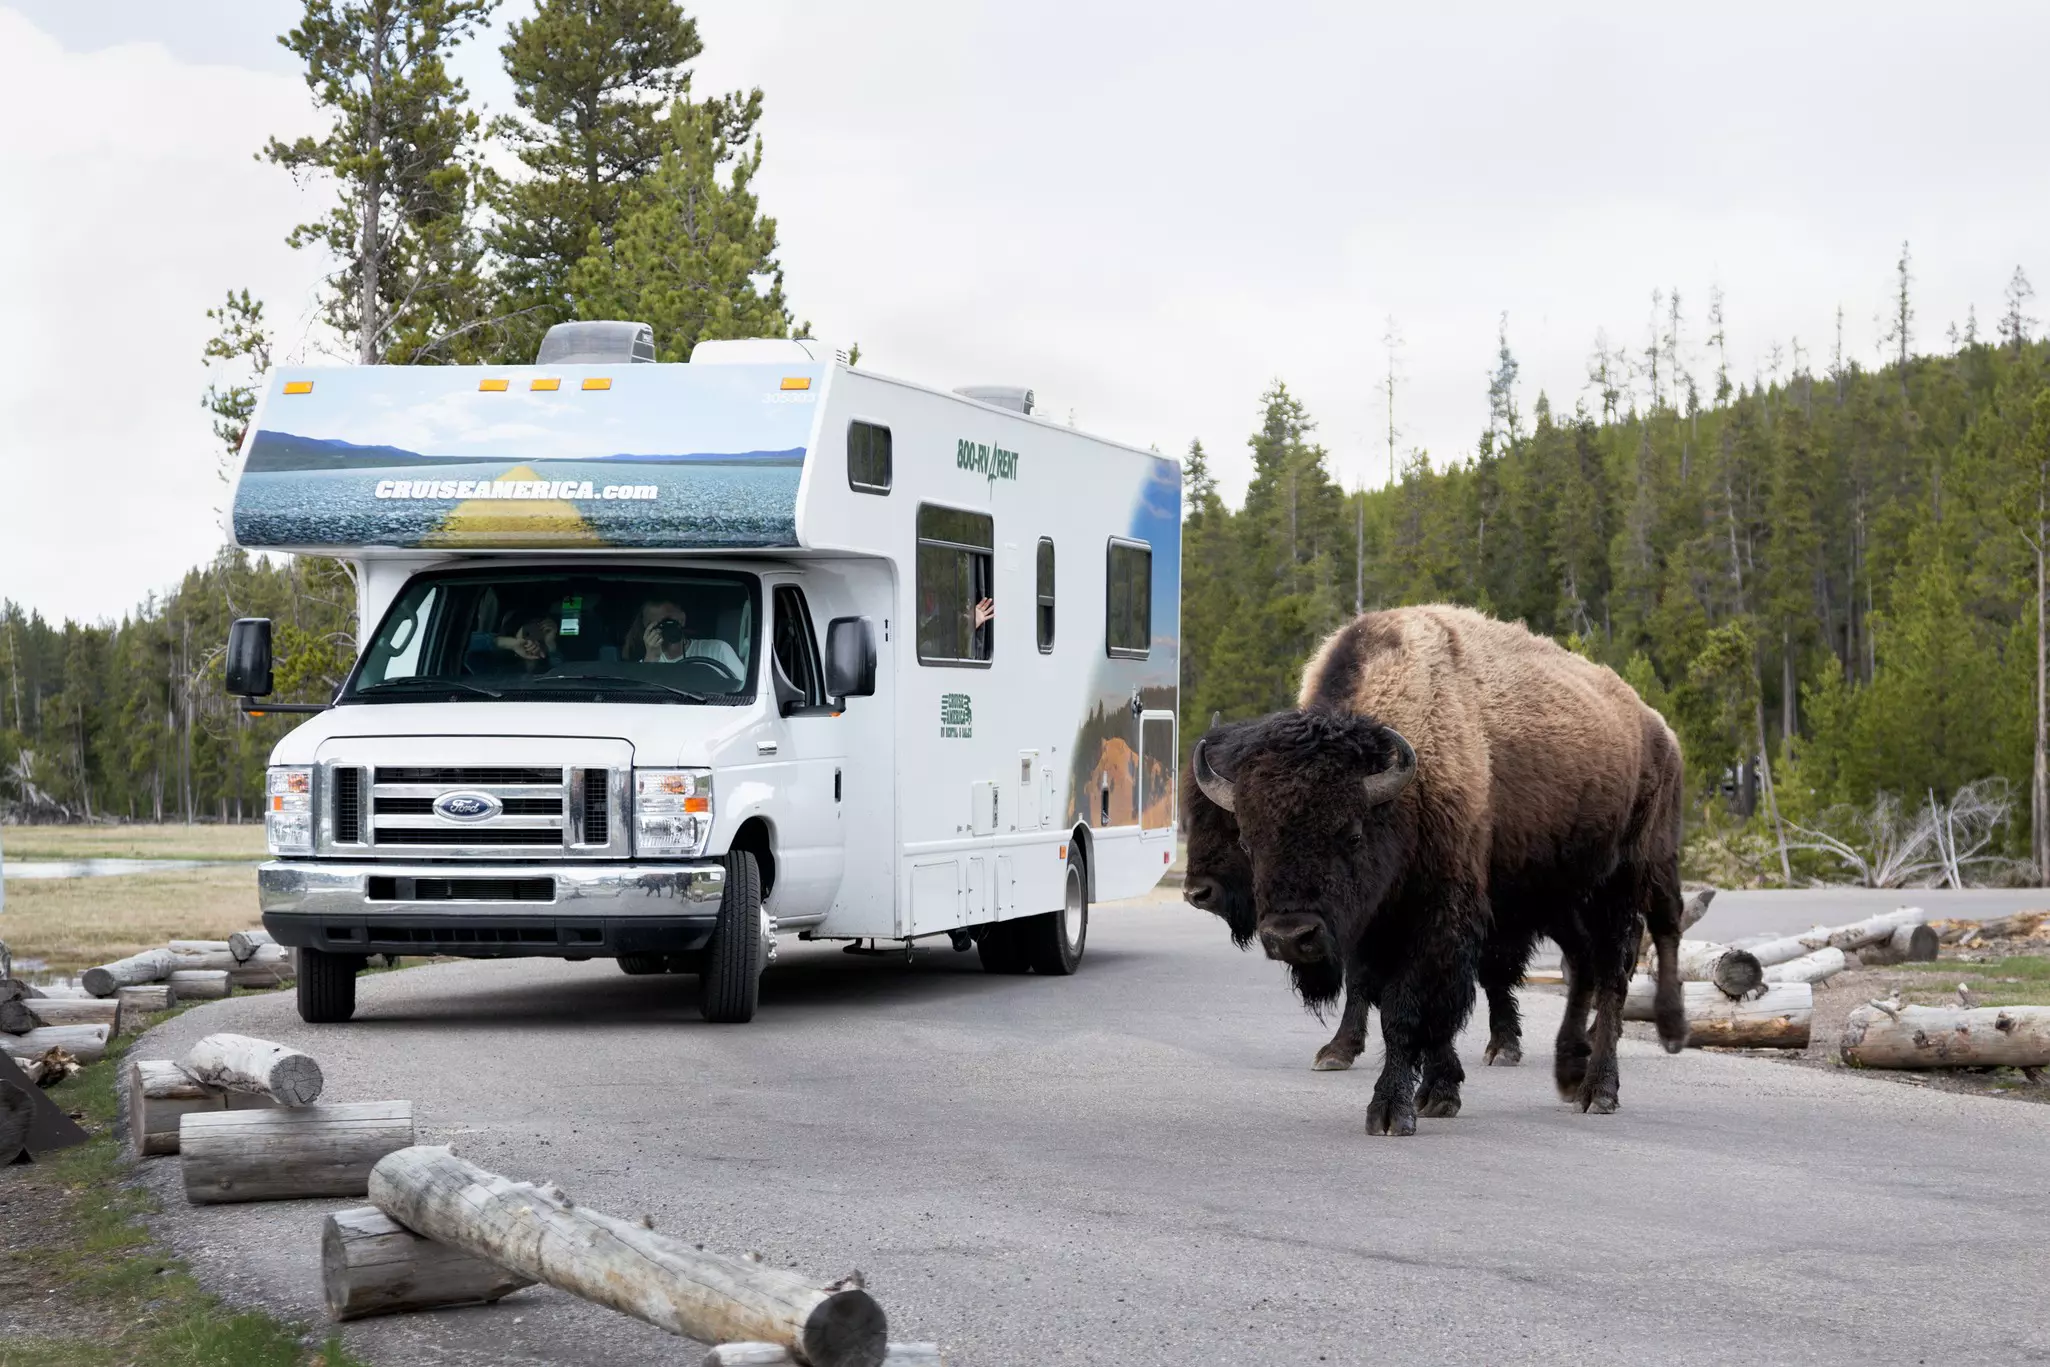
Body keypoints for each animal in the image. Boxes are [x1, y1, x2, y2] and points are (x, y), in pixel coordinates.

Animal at [1186, 605, 1687, 1135]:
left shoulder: (1439, 916)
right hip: (1559, 895)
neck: (1405, 790)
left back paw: (1608, 1082)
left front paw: (1392, 1110)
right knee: (1585, 965)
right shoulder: (1375, 925)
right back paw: (1570, 1071)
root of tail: (1654, 725)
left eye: (1352, 833)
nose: (1289, 937)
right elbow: (1412, 1005)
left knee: (1625, 963)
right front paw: (1437, 1090)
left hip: (1628, 880)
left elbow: (1409, 1011)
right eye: (1248, 838)